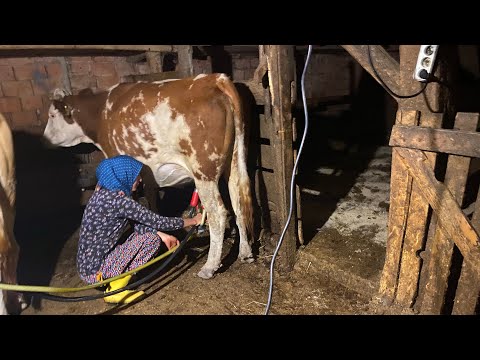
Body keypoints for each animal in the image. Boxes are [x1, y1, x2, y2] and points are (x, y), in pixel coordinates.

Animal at [42, 73, 255, 280]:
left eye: (52, 115)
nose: (44, 139)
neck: (102, 112)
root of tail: (215, 79)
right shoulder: (147, 172)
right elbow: (152, 204)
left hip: (203, 171)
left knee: (218, 213)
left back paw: (209, 267)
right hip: (234, 162)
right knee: (238, 204)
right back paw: (245, 253)